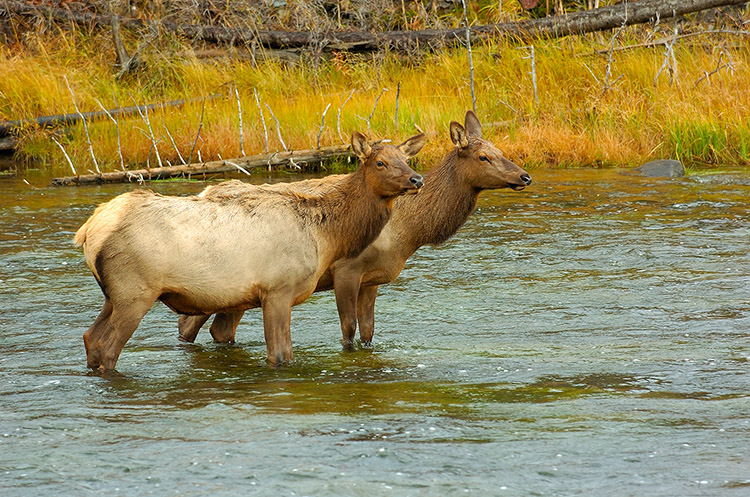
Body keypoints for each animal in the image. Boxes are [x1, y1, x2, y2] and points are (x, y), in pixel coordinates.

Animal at [78, 130, 428, 370]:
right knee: (108, 347)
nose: (417, 179)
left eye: (406, 159)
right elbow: (280, 355)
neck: (326, 236)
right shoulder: (277, 290)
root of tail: (88, 230)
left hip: (113, 295)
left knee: (90, 338)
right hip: (135, 291)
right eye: (380, 162)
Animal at [181, 111, 536, 346]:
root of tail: (206, 190)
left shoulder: (372, 279)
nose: (525, 176)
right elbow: (348, 332)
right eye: (483, 156)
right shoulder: (346, 269)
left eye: (502, 151)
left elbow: (368, 332)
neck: (410, 231)